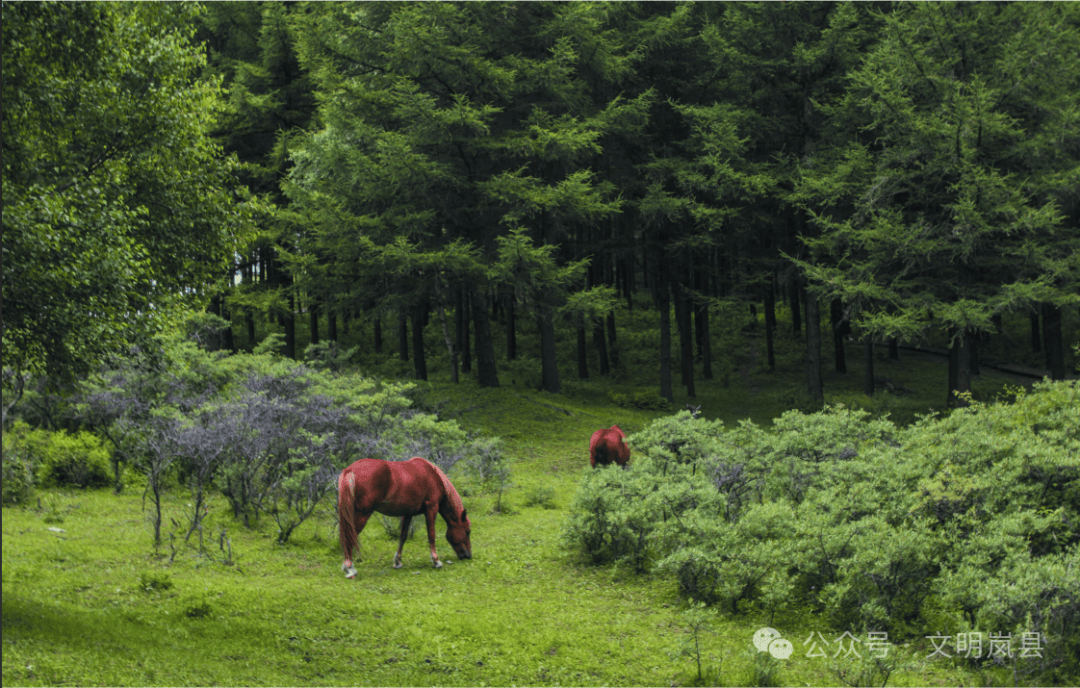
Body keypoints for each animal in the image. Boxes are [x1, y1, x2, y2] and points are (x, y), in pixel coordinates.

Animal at [337, 457, 471, 579]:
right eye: (467, 531)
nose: (469, 556)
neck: (433, 476)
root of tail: (350, 469)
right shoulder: (431, 508)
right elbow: (431, 535)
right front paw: (436, 561)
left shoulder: (408, 513)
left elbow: (403, 536)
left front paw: (397, 562)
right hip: (363, 514)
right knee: (350, 536)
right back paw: (350, 569)